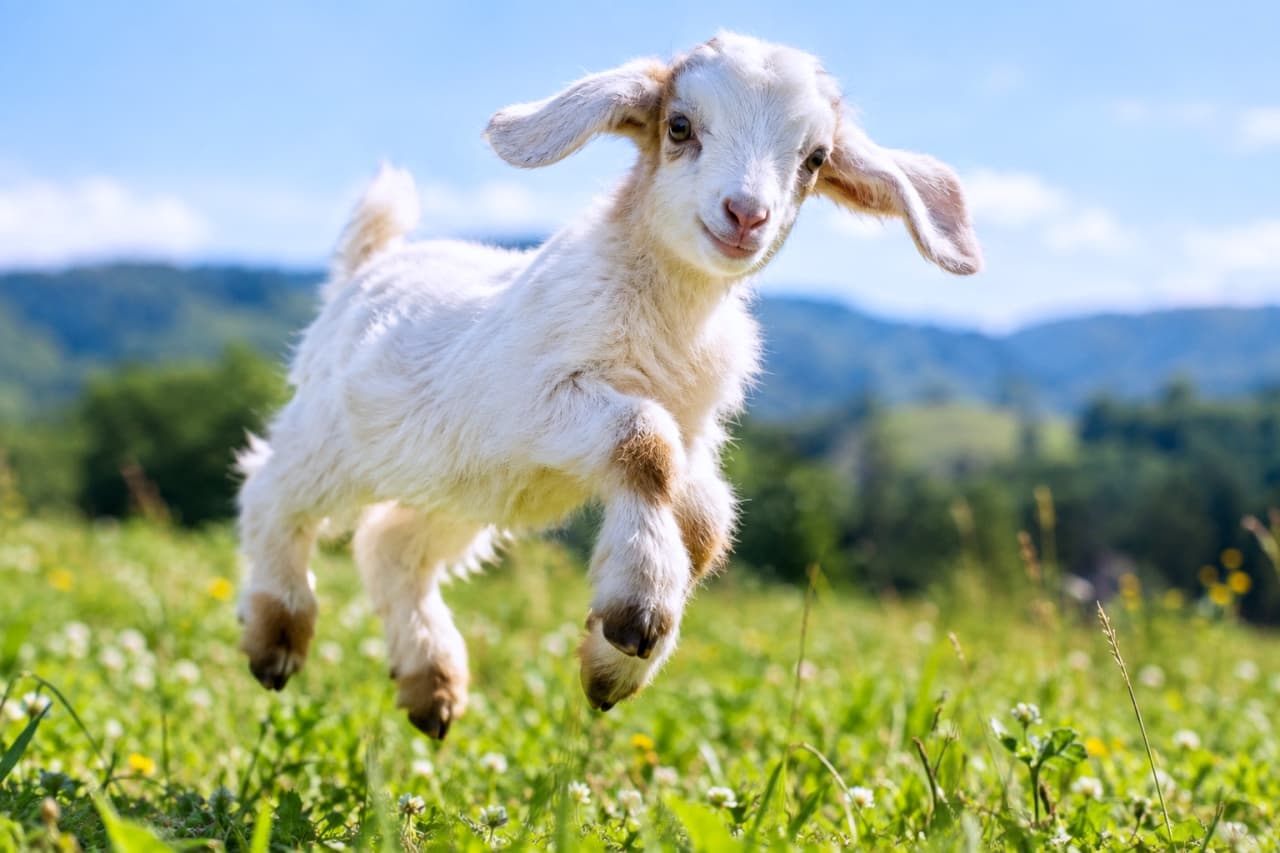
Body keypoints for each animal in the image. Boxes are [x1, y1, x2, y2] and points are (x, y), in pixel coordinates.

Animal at [235, 31, 982, 738]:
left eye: (816, 158)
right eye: (679, 126)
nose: (746, 215)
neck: (667, 318)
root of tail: (370, 266)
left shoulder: (696, 434)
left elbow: (707, 519)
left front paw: (613, 662)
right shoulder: (545, 400)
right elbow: (645, 445)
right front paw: (636, 614)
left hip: (459, 489)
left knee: (390, 545)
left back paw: (432, 686)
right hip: (338, 439)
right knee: (271, 490)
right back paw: (277, 636)